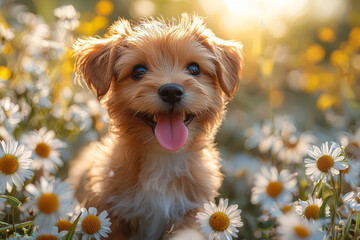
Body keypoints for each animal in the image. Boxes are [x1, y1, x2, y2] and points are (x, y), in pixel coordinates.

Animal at [69, 14, 243, 239]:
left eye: (194, 69)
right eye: (139, 71)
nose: (171, 91)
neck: (164, 157)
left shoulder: (192, 212)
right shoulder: (110, 212)